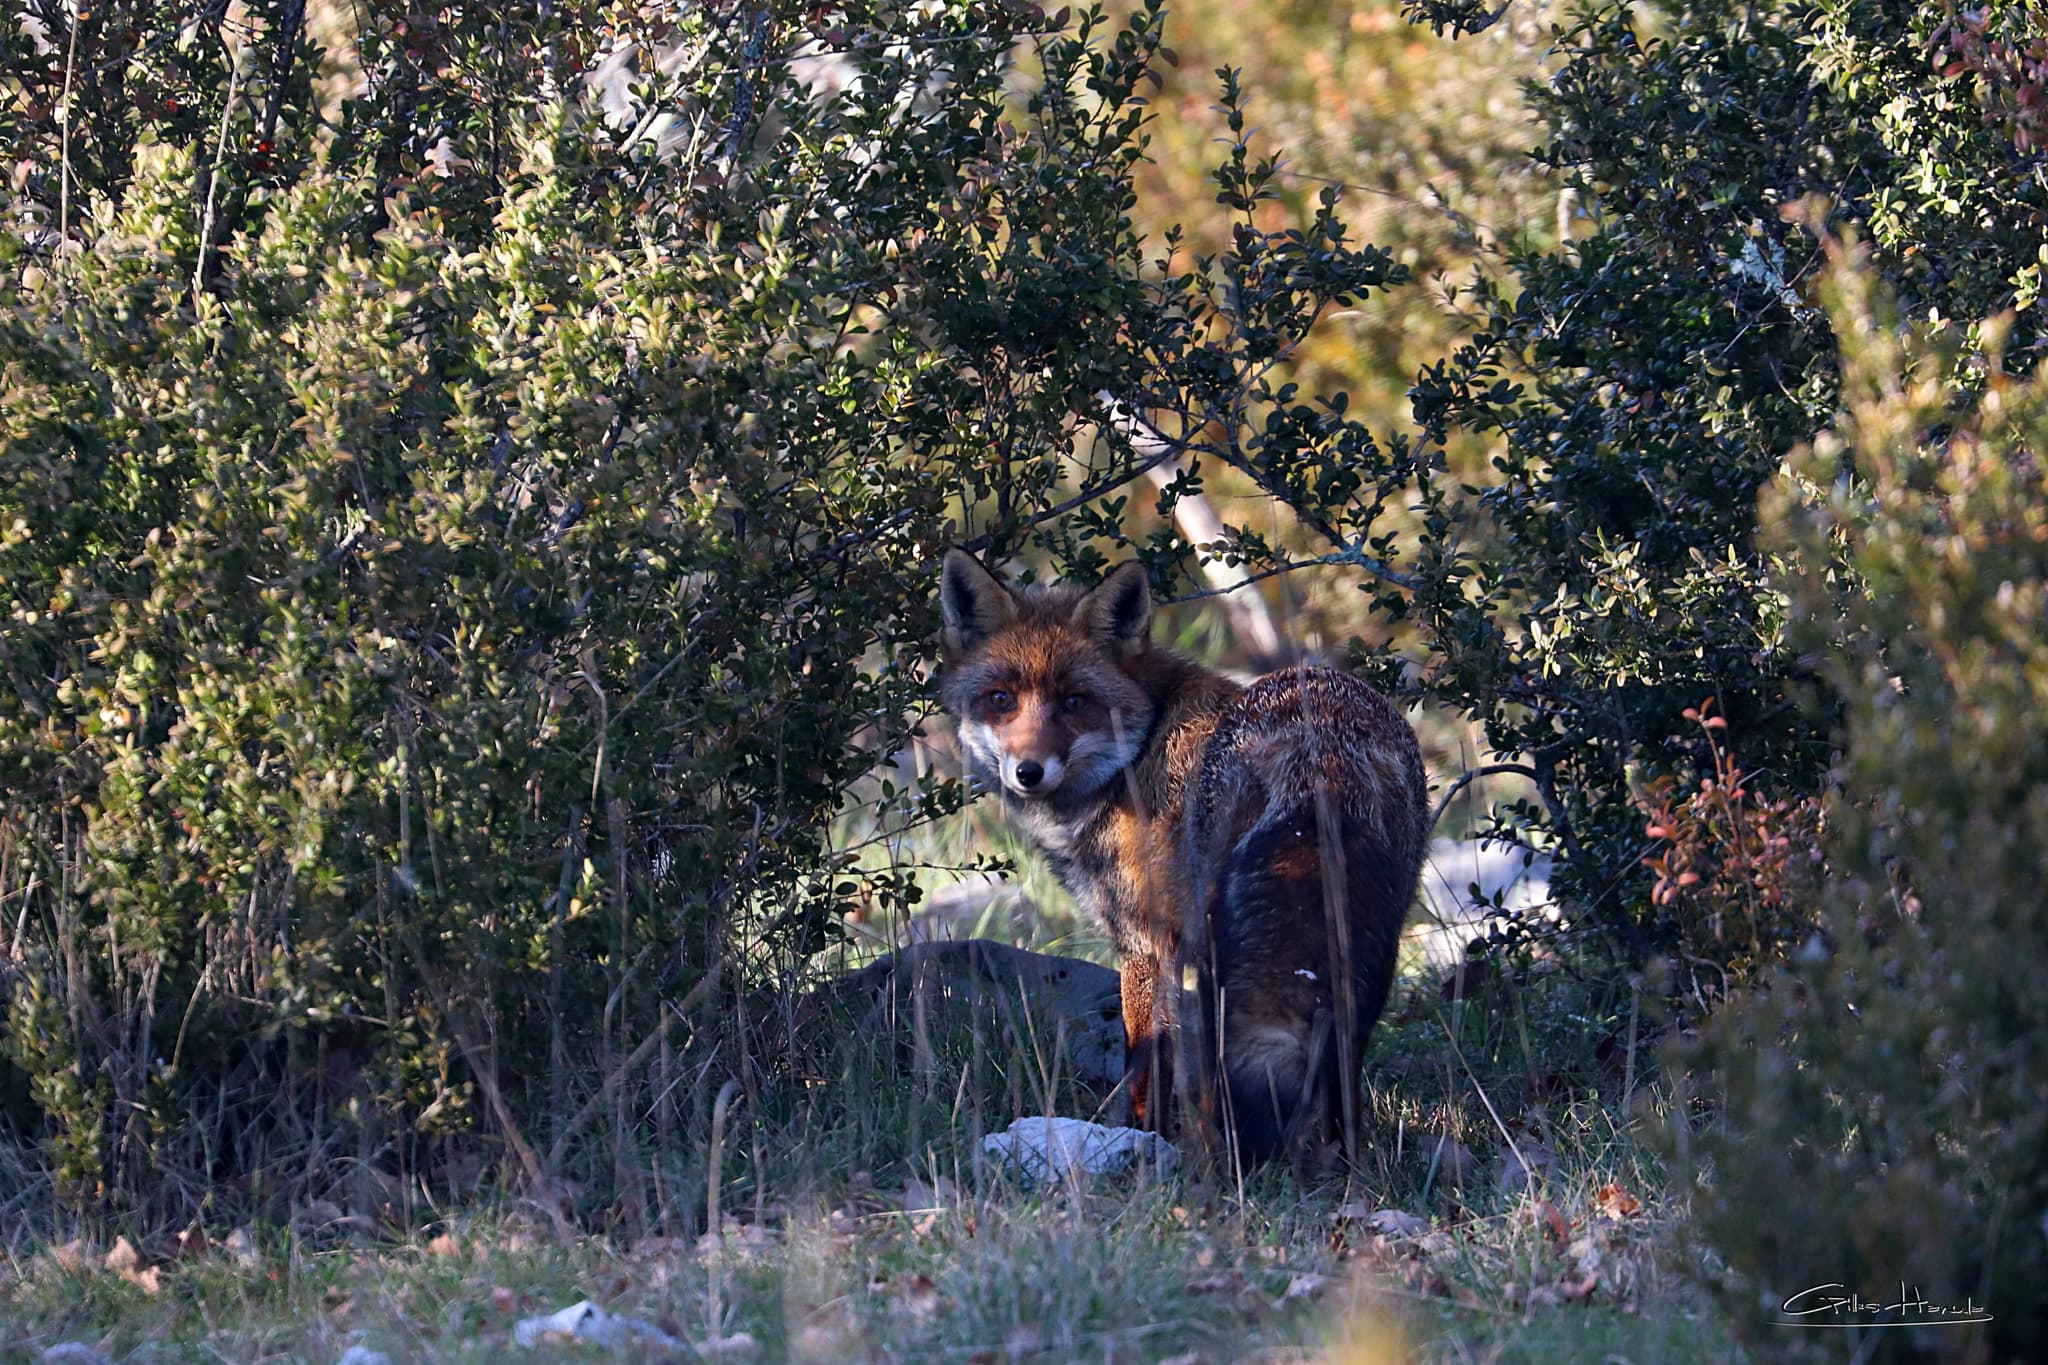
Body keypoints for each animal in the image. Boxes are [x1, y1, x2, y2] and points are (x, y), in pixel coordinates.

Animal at [938, 550, 1429, 1164]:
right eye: (1000, 699)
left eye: (1075, 702)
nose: (1028, 771)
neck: (1139, 749)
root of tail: (1325, 748)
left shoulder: (1147, 941)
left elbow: (1146, 1063)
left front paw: (1141, 1140)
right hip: (1371, 948)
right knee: (1344, 1058)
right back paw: (1346, 1163)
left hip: (1228, 960)